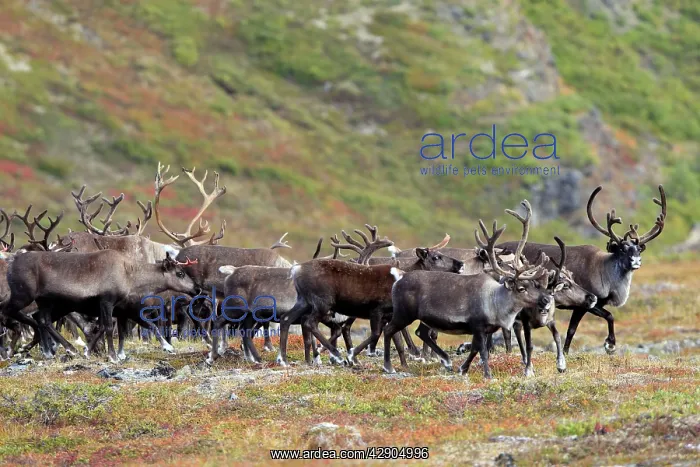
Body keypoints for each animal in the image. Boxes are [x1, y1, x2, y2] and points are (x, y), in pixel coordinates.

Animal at [0, 249, 201, 362]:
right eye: (180, 273)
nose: (197, 289)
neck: (130, 275)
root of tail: (11, 264)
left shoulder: (116, 308)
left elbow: (108, 328)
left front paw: (89, 352)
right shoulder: (107, 301)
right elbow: (109, 327)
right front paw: (112, 356)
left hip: (46, 302)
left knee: (42, 320)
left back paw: (53, 350)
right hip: (24, 295)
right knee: (11, 312)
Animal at [382, 200, 554, 379]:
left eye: (534, 284)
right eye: (521, 288)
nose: (546, 299)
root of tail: (399, 276)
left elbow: (476, 346)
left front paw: (464, 367)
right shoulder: (475, 322)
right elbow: (481, 348)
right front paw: (486, 372)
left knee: (418, 332)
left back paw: (441, 359)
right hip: (407, 313)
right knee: (394, 330)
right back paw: (396, 364)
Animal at [496, 185, 667, 355]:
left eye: (639, 249)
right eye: (622, 249)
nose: (636, 260)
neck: (605, 273)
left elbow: (575, 328)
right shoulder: (585, 304)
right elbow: (604, 318)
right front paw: (609, 345)